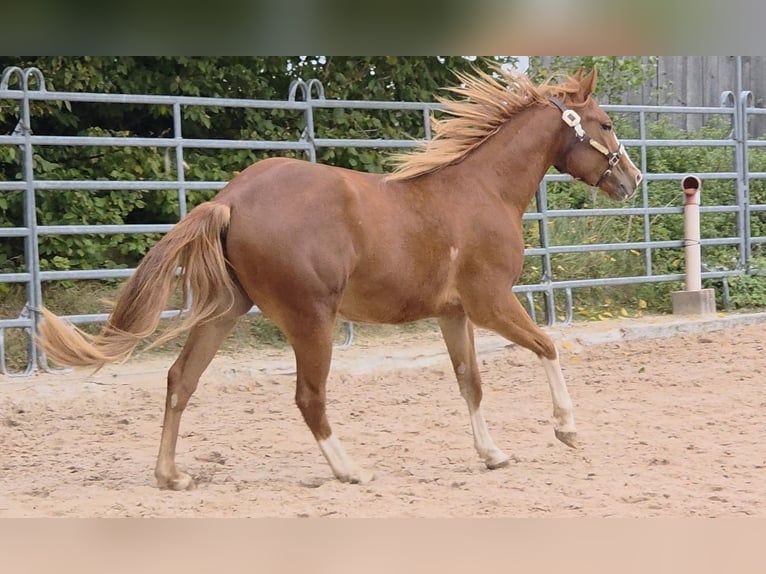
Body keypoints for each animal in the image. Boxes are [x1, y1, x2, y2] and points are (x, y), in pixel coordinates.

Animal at [37, 65, 642, 490]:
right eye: (606, 124)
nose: (632, 179)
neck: (482, 191)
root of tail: (231, 198)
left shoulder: (454, 314)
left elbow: (469, 381)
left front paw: (493, 454)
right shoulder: (491, 302)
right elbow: (548, 346)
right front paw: (566, 428)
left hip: (228, 310)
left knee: (180, 380)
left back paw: (171, 475)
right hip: (312, 319)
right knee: (309, 397)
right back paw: (351, 469)